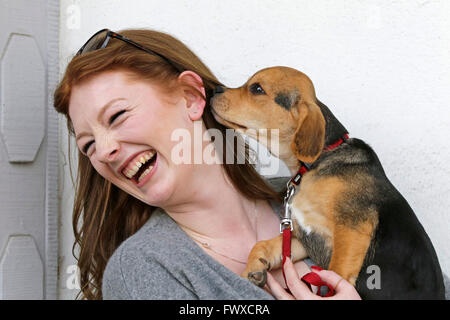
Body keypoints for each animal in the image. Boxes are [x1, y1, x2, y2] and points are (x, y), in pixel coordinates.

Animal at [209, 66, 444, 298]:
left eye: (257, 88)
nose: (213, 90)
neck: (317, 163)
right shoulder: (305, 237)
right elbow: (263, 245)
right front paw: (253, 269)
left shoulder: (351, 230)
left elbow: (337, 273)